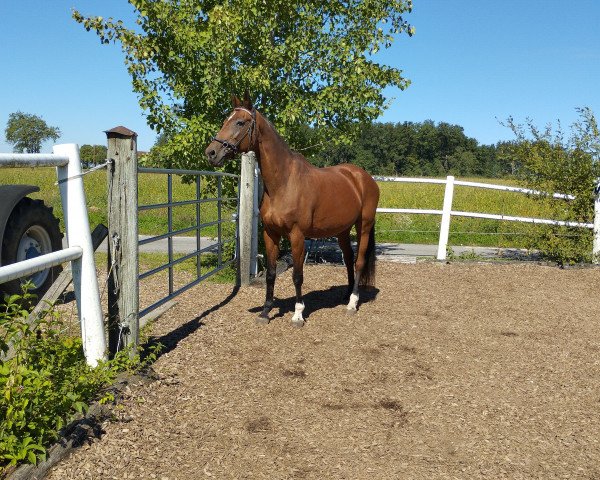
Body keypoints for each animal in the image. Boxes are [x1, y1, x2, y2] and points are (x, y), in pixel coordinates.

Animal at [204, 93, 378, 326]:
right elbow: (270, 273)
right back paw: (347, 294)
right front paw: (265, 312)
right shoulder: (270, 234)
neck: (284, 182)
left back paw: (352, 303)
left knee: (359, 262)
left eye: (240, 122)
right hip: (342, 230)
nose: (211, 153)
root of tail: (363, 177)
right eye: (225, 120)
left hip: (364, 225)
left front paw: (298, 314)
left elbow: (297, 275)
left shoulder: (297, 236)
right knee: (349, 259)